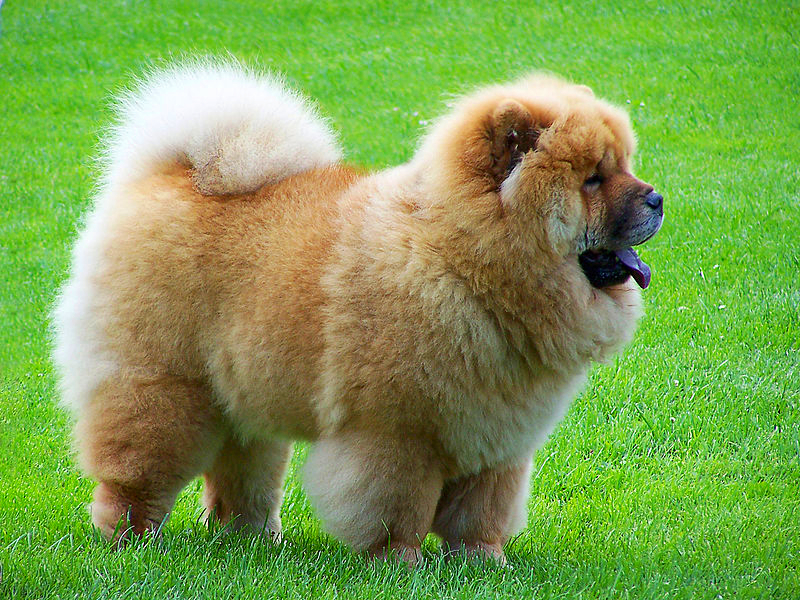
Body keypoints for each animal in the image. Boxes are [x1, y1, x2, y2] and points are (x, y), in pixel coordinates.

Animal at [51, 61, 664, 564]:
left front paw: (484, 563)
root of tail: (171, 174)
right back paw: (130, 538)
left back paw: (251, 539)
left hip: (245, 386)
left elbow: (482, 513)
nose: (657, 197)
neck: (459, 259)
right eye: (592, 179)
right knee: (137, 467)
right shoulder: (396, 433)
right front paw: (400, 564)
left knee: (244, 474)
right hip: (162, 385)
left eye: (626, 166)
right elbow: (398, 506)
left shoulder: (498, 440)